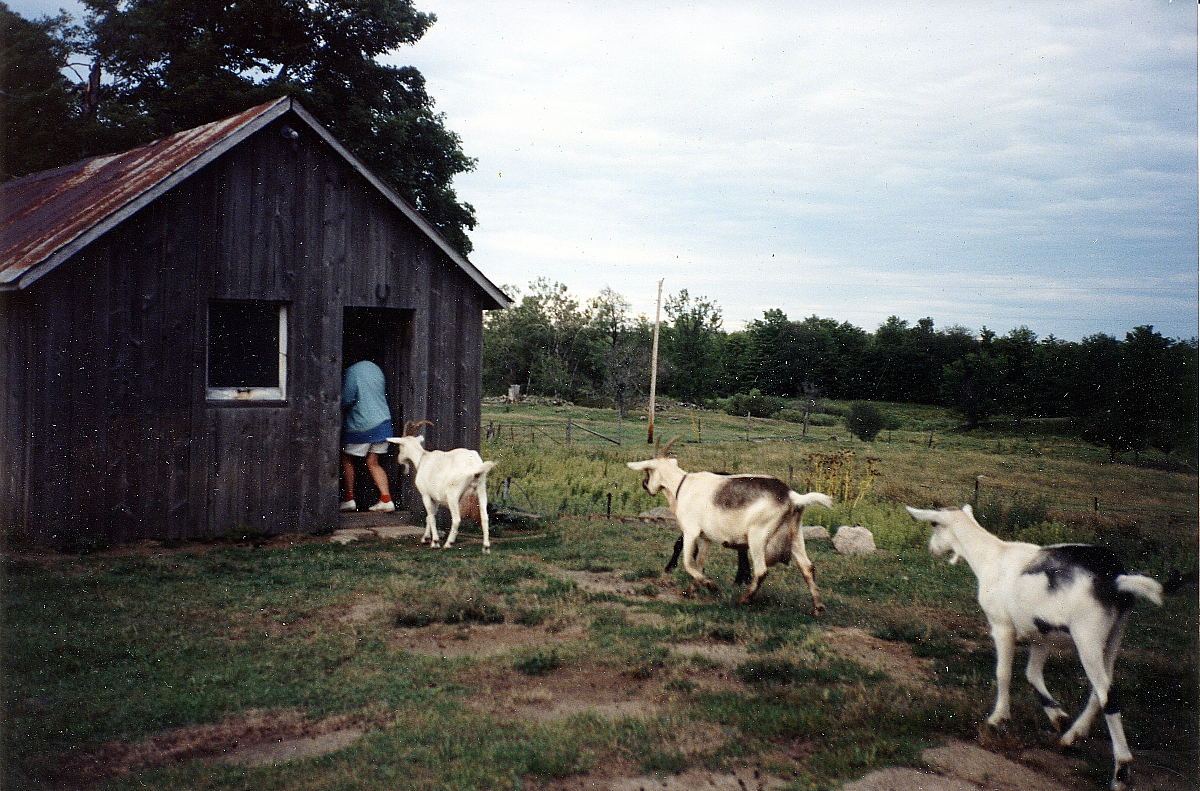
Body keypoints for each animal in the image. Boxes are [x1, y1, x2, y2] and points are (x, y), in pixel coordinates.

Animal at [386, 420, 494, 556]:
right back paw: (486, 547)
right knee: (485, 517)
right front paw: (426, 538)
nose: (400, 461)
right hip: (481, 489)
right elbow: (430, 515)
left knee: (457, 519)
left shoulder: (425, 495)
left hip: (453, 495)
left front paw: (435, 542)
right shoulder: (435, 497)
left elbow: (431, 516)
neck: (422, 458)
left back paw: (448, 543)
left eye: (400, 446)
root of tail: (473, 466)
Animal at [628, 439, 835, 612]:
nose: (645, 484)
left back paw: (744, 599)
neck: (682, 485)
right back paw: (818, 607)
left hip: (758, 536)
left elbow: (688, 563)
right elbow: (699, 563)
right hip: (796, 535)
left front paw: (711, 586)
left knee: (761, 570)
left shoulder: (690, 531)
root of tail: (791, 496)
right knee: (808, 568)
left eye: (648, 471)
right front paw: (693, 590)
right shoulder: (706, 538)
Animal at [907, 506, 1161, 791]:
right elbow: (1032, 674)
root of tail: (1116, 579)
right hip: (1114, 636)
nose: (932, 549)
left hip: (1088, 635)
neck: (992, 556)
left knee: (1109, 695)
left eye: (933, 524)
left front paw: (998, 718)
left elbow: (1003, 673)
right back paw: (1071, 736)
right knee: (1100, 691)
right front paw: (1058, 716)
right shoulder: (1042, 636)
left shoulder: (1002, 626)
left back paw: (1121, 771)